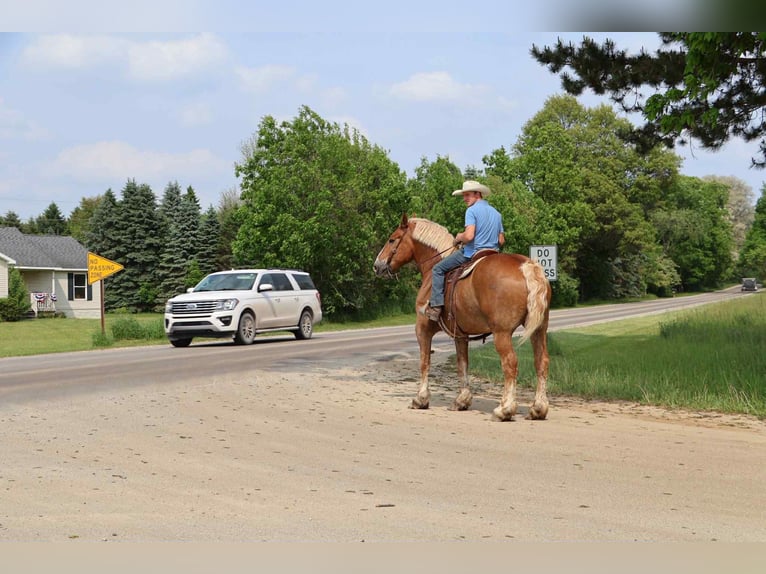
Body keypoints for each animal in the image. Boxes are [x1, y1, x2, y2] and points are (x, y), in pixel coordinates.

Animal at [373, 213, 552, 421]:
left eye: (392, 239)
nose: (377, 265)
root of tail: (526, 266)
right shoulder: (460, 333)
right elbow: (462, 363)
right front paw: (462, 400)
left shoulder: (423, 329)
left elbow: (425, 362)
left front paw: (420, 399)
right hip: (539, 330)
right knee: (541, 362)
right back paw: (538, 408)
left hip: (502, 333)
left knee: (510, 363)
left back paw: (505, 409)